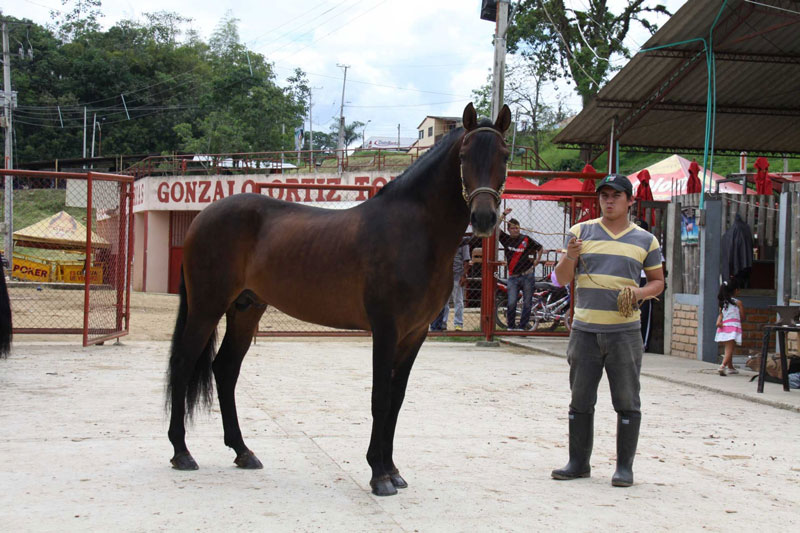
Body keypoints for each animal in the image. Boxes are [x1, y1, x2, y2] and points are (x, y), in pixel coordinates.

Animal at [167, 102, 511, 496]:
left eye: (504, 155)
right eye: (465, 155)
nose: (483, 218)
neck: (413, 231)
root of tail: (202, 217)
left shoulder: (416, 333)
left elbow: (396, 400)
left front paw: (393, 470)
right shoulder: (386, 329)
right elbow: (380, 398)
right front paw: (378, 475)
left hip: (246, 309)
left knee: (225, 369)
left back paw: (243, 452)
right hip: (206, 308)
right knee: (183, 363)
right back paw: (181, 452)